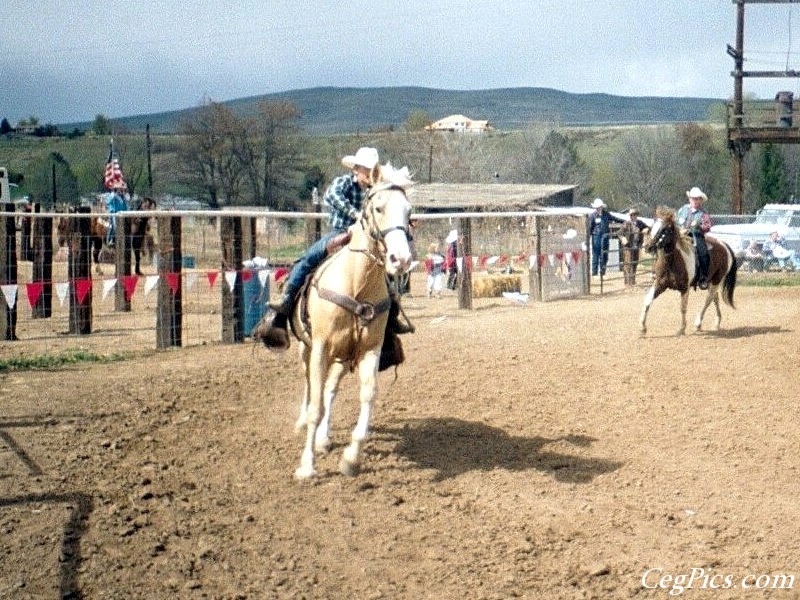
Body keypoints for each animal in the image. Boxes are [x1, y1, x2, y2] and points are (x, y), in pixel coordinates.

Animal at [288, 162, 412, 480]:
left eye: (409, 210)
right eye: (378, 208)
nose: (401, 259)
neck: (357, 282)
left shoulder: (369, 349)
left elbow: (367, 395)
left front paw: (351, 459)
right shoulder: (320, 347)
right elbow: (316, 405)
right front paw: (306, 466)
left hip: (344, 356)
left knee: (330, 389)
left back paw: (324, 438)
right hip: (306, 348)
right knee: (309, 385)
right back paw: (302, 422)